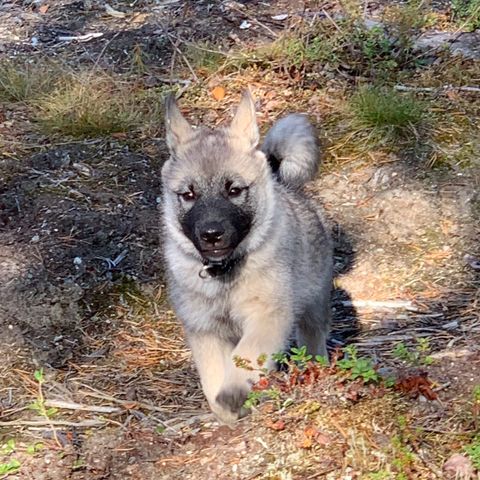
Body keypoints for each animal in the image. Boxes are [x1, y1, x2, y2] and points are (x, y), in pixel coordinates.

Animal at [161, 90, 334, 424]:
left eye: (234, 190)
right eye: (188, 195)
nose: (212, 234)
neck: (224, 274)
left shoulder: (267, 316)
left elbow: (247, 355)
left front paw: (235, 390)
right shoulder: (205, 330)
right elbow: (212, 375)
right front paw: (225, 408)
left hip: (314, 304)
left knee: (313, 338)